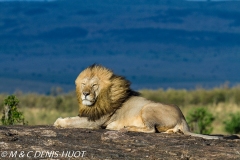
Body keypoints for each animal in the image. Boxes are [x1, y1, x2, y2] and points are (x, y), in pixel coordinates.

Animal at [53, 64, 220, 139]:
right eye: (83, 84)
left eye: (94, 85)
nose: (85, 94)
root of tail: (183, 117)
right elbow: (73, 118)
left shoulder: (95, 121)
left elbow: (71, 121)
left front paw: (58, 121)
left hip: (147, 108)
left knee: (151, 130)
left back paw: (124, 127)